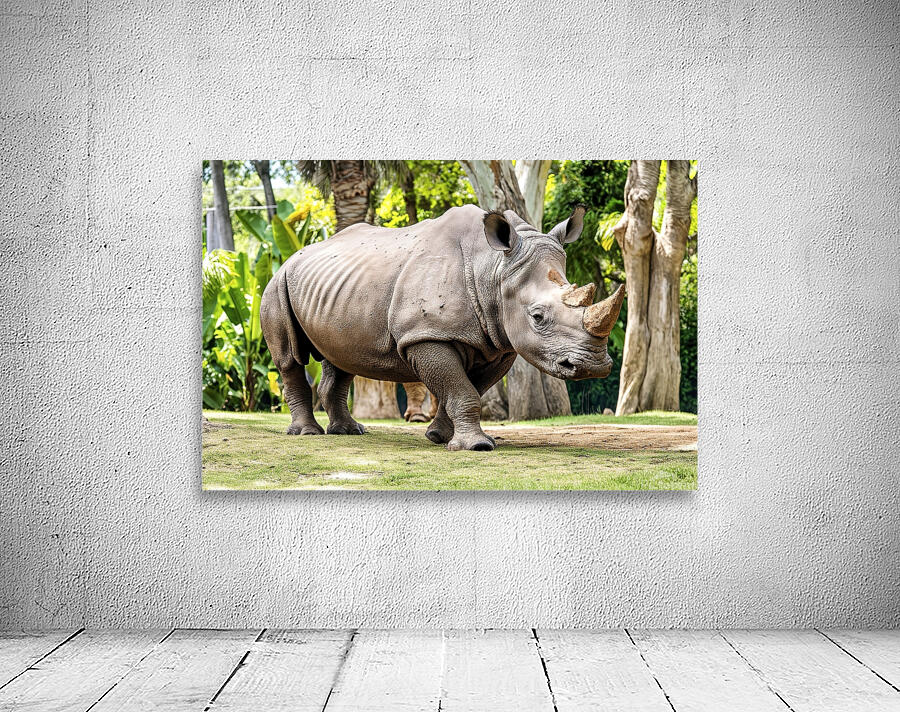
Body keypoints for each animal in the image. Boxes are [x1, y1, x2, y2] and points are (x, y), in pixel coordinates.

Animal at [260, 204, 624, 451]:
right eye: (537, 317)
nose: (593, 366)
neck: (493, 268)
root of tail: (293, 256)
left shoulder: (498, 343)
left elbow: (469, 389)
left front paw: (439, 437)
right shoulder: (425, 335)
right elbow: (461, 389)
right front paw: (477, 446)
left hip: (335, 288)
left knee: (341, 359)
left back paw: (350, 432)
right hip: (277, 283)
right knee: (291, 359)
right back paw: (307, 434)